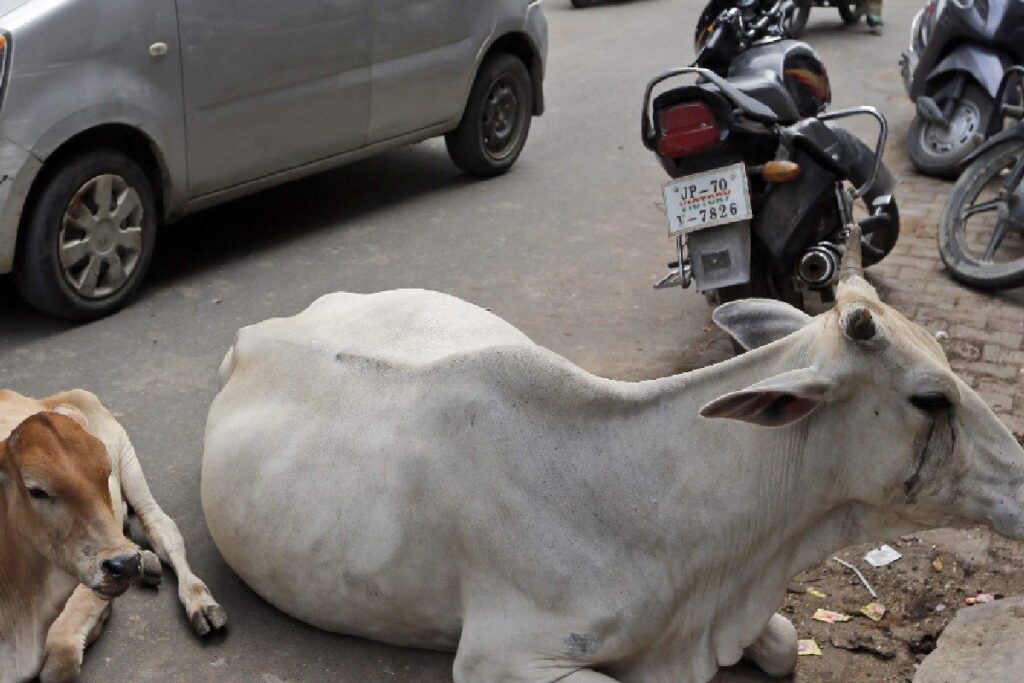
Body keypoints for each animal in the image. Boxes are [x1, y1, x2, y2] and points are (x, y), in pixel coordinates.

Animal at [0, 390, 226, 683]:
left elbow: (59, 658)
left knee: (161, 528)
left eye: (105, 473)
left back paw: (200, 602)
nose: (125, 564)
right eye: (36, 490)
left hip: (127, 458)